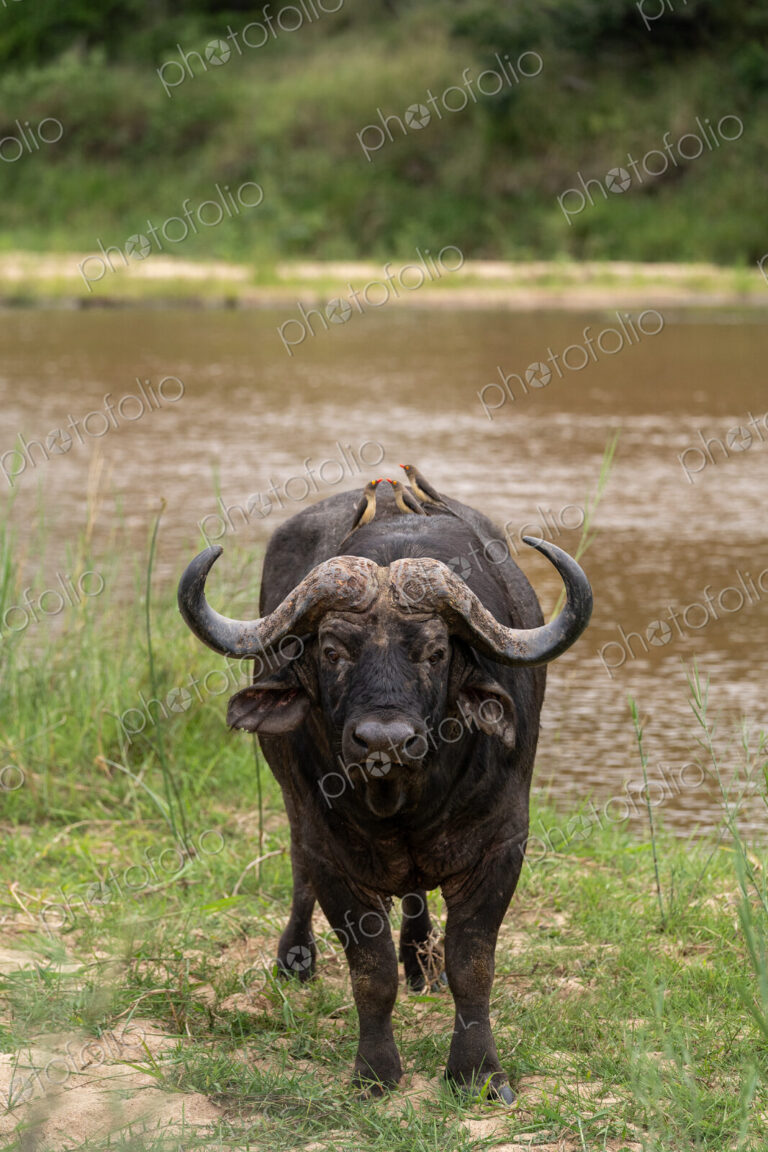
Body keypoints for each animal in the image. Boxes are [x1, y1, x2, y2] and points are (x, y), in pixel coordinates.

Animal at [177, 482, 592, 1103]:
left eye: (436, 652)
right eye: (332, 651)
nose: (384, 740)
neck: (404, 800)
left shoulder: (502, 846)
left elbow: (473, 966)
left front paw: (478, 1072)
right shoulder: (334, 859)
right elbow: (370, 974)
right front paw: (374, 1072)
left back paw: (420, 960)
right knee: (298, 867)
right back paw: (297, 958)